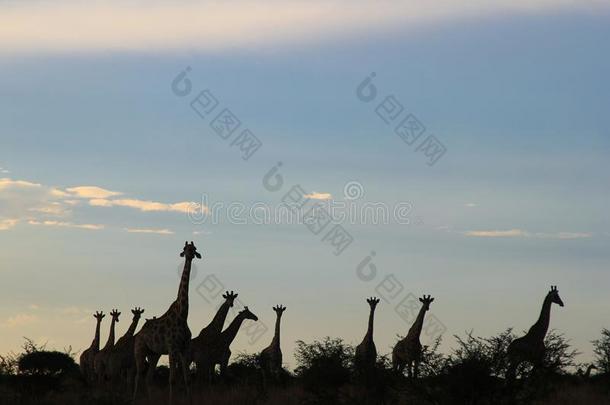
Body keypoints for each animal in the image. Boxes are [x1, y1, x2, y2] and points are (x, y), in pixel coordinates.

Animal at [132, 241, 201, 402]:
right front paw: (171, 401)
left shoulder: (184, 348)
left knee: (148, 378)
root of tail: (138, 335)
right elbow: (172, 380)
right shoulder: (172, 347)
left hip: (153, 354)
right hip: (140, 350)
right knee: (138, 376)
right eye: (184, 249)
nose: (189, 254)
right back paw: (133, 399)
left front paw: (190, 401)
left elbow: (187, 379)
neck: (183, 315)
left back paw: (150, 401)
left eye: (194, 249)